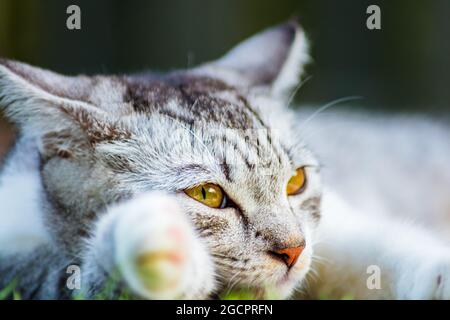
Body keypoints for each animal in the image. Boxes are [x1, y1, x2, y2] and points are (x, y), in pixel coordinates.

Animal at [0, 20, 450, 300]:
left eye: (296, 182)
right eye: (207, 194)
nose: (294, 250)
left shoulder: (338, 227)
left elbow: (386, 249)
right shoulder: (19, 266)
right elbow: (67, 276)